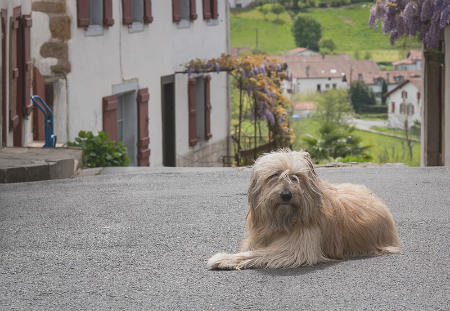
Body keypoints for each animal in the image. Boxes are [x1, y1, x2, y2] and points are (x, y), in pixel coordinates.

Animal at [207, 150, 400, 270]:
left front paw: (222, 259)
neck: (284, 219)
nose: (286, 195)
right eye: (274, 175)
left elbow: (256, 254)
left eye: (296, 177)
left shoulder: (296, 249)